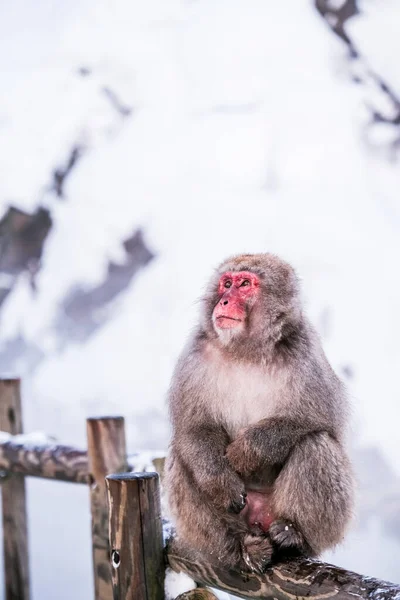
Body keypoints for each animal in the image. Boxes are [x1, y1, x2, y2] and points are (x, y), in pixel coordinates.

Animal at [165, 252, 354, 572]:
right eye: (226, 283)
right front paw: (222, 482)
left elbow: (321, 419)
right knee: (181, 455)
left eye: (244, 284)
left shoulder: (306, 354)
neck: (245, 350)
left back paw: (292, 535)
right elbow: (194, 427)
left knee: (314, 442)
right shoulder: (193, 358)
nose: (224, 301)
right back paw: (238, 546)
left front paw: (245, 452)